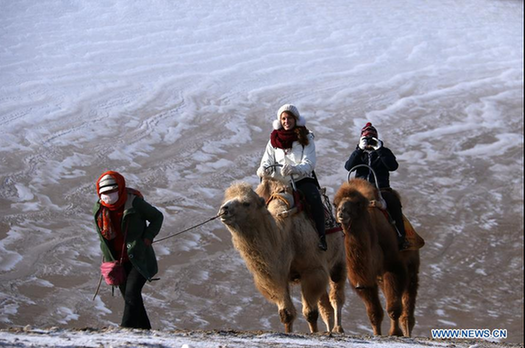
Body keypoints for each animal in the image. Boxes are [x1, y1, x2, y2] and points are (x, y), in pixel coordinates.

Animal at [219, 178, 346, 334]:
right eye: (227, 198)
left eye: (246, 203)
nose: (223, 209)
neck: (284, 237)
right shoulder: (277, 277)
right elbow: (286, 314)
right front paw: (289, 333)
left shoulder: (311, 270)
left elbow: (310, 313)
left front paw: (314, 333)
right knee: (325, 305)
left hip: (338, 260)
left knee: (336, 295)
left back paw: (338, 328)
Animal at [334, 178, 420, 336]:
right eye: (335, 203)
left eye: (357, 203)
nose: (341, 212)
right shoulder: (363, 280)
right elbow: (374, 313)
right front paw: (377, 334)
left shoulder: (394, 267)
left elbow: (393, 308)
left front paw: (395, 332)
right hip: (380, 277)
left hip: (411, 267)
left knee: (407, 301)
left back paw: (406, 331)